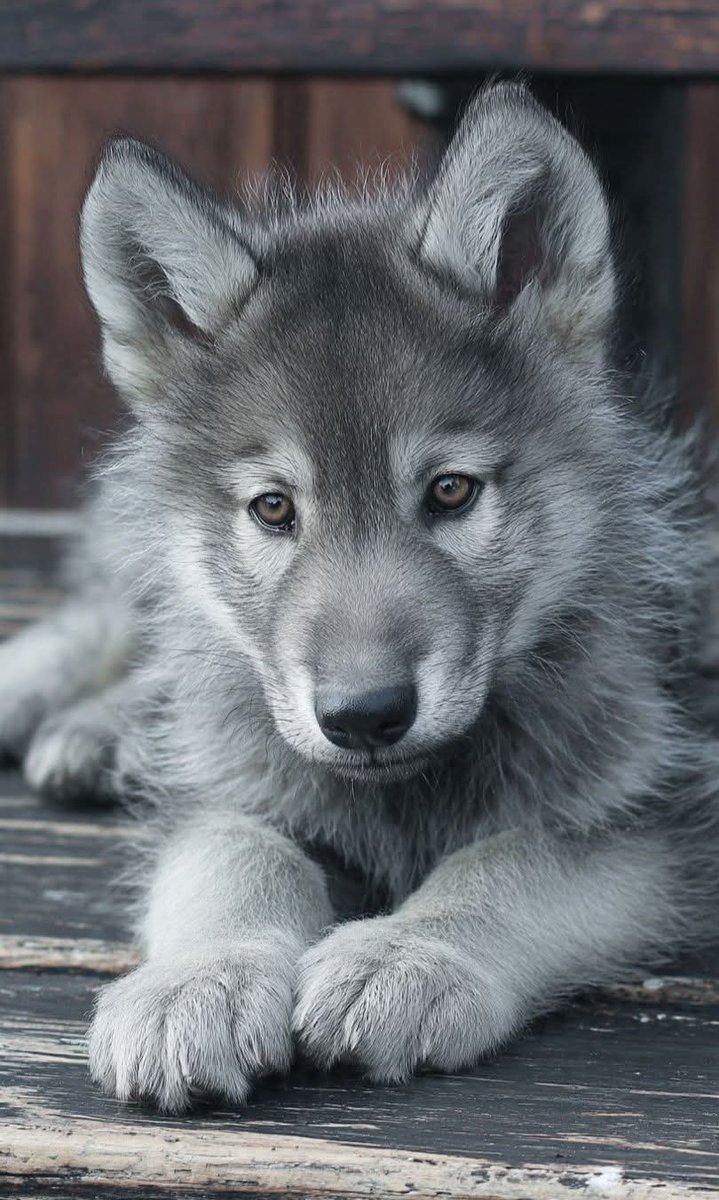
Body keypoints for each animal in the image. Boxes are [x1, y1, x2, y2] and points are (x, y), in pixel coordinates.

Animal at [1, 84, 717, 1113]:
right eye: (273, 507)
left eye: (451, 492)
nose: (364, 717)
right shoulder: (227, 791)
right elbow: (238, 857)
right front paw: (202, 978)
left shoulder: (659, 820)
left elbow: (512, 859)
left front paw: (409, 953)